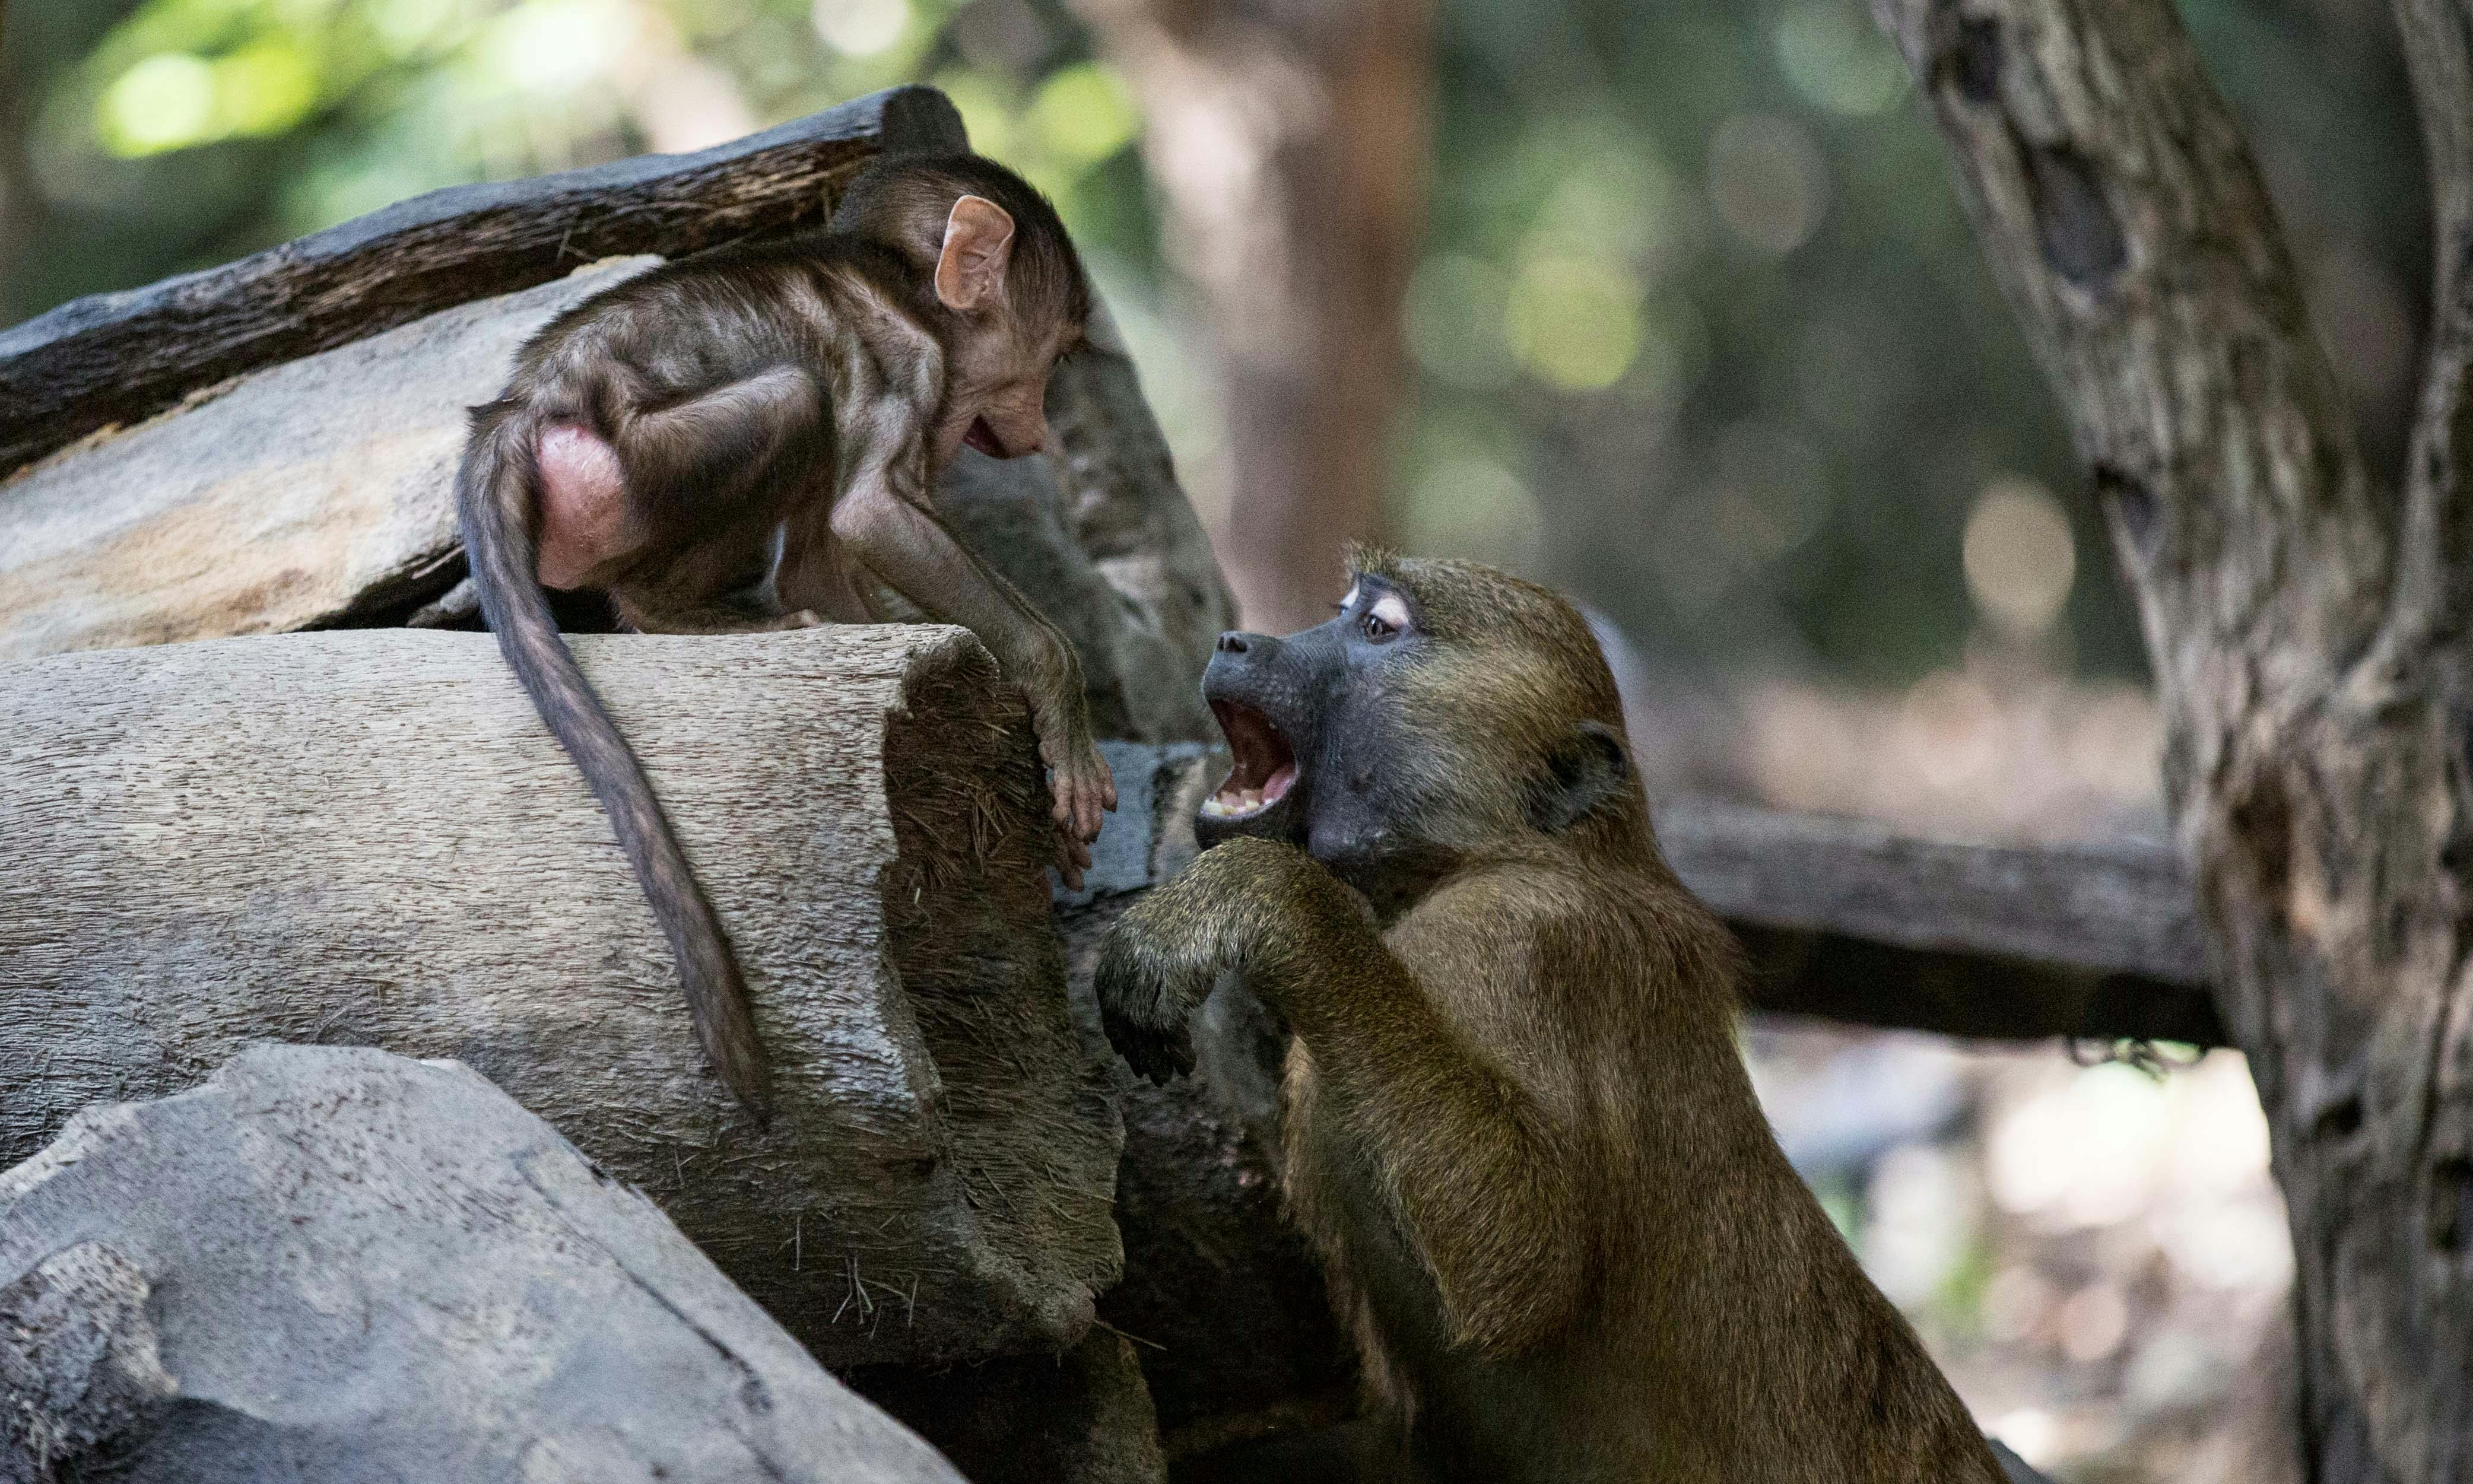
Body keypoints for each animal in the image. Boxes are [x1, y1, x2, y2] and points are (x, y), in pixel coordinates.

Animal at [458, 153, 1117, 1123]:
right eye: (1056, 356)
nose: (1038, 432)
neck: (911, 292)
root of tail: (525, 403)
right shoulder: (910, 367)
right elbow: (870, 512)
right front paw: (1058, 707)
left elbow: (824, 563)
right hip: (645, 469)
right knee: (795, 400)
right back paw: (676, 613)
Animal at [1096, 554, 2012, 1483]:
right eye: (1341, 611)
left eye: (1378, 628)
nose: (1234, 642)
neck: (1490, 851)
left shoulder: (1512, 939)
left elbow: (1525, 1260)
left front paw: (1267, 902)